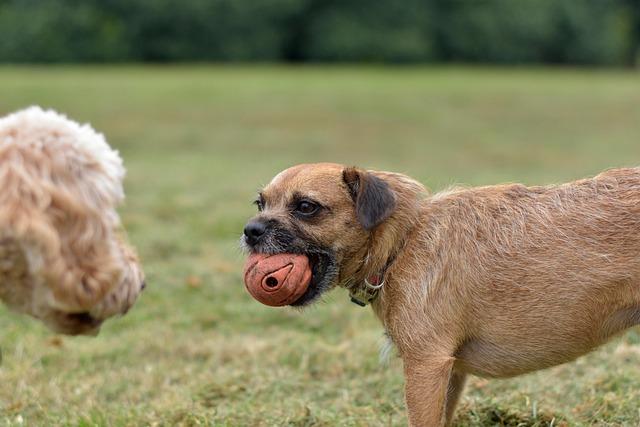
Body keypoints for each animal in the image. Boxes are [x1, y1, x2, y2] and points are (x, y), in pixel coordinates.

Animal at [242, 163, 640, 424]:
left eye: (306, 207)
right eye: (260, 204)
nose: (250, 231)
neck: (404, 241)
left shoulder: (426, 366)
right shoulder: (450, 374)